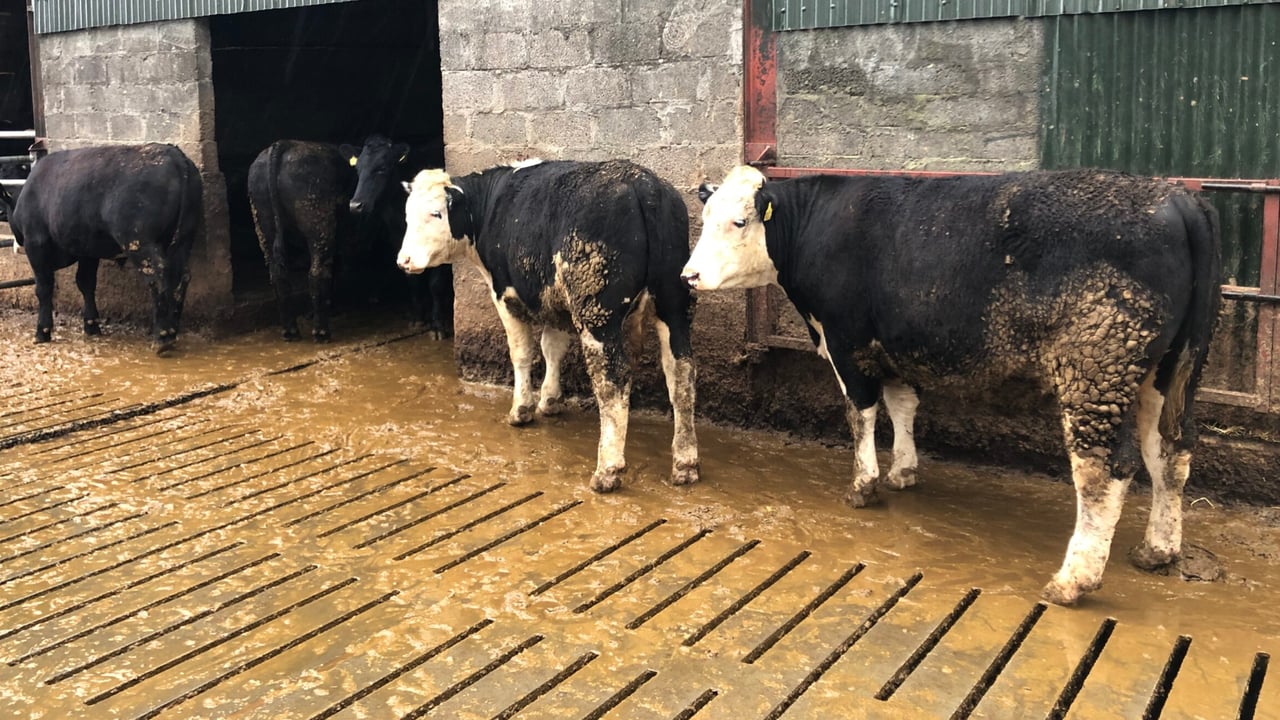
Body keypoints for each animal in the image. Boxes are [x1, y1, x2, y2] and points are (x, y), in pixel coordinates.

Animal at [0, 143, 203, 353]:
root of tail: (174, 155)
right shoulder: (87, 249)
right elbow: (86, 282)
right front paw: (91, 326)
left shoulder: (36, 243)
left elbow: (44, 287)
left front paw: (42, 332)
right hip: (184, 237)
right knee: (181, 277)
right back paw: (173, 330)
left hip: (139, 242)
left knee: (158, 278)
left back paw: (162, 338)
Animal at [247, 135, 453, 341]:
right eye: (358, 169)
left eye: (382, 168)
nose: (355, 205)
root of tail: (284, 144)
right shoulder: (395, 234)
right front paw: (422, 319)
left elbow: (433, 282)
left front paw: (432, 324)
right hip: (319, 226)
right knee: (316, 272)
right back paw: (321, 331)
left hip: (266, 228)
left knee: (279, 275)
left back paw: (291, 330)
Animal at [397, 159, 699, 493]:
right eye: (407, 216)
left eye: (436, 213)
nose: (403, 260)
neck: (489, 206)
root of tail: (642, 184)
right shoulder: (556, 302)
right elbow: (553, 348)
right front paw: (550, 400)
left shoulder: (505, 294)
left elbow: (522, 353)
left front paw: (522, 409)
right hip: (673, 302)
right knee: (681, 374)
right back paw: (685, 463)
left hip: (597, 312)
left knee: (612, 382)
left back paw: (608, 470)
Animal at [682, 165, 1221, 606]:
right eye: (704, 217)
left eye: (739, 222)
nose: (689, 275)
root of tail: (1175, 198)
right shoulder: (894, 339)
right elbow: (903, 404)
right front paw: (903, 470)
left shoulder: (845, 338)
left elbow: (862, 412)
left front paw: (864, 485)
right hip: (1168, 372)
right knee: (1171, 451)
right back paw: (1158, 548)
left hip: (1096, 366)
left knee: (1105, 470)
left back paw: (1073, 580)